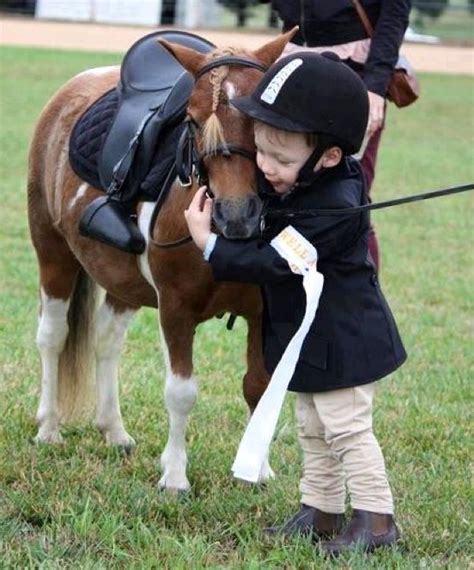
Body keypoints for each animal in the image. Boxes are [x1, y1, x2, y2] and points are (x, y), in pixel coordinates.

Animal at [27, 28, 294, 490]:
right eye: (192, 119)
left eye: (260, 118)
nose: (236, 213)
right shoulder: (176, 308)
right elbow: (181, 393)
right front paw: (174, 475)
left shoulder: (262, 314)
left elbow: (259, 386)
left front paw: (257, 470)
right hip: (53, 254)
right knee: (53, 336)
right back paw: (49, 427)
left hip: (122, 281)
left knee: (106, 340)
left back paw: (113, 430)